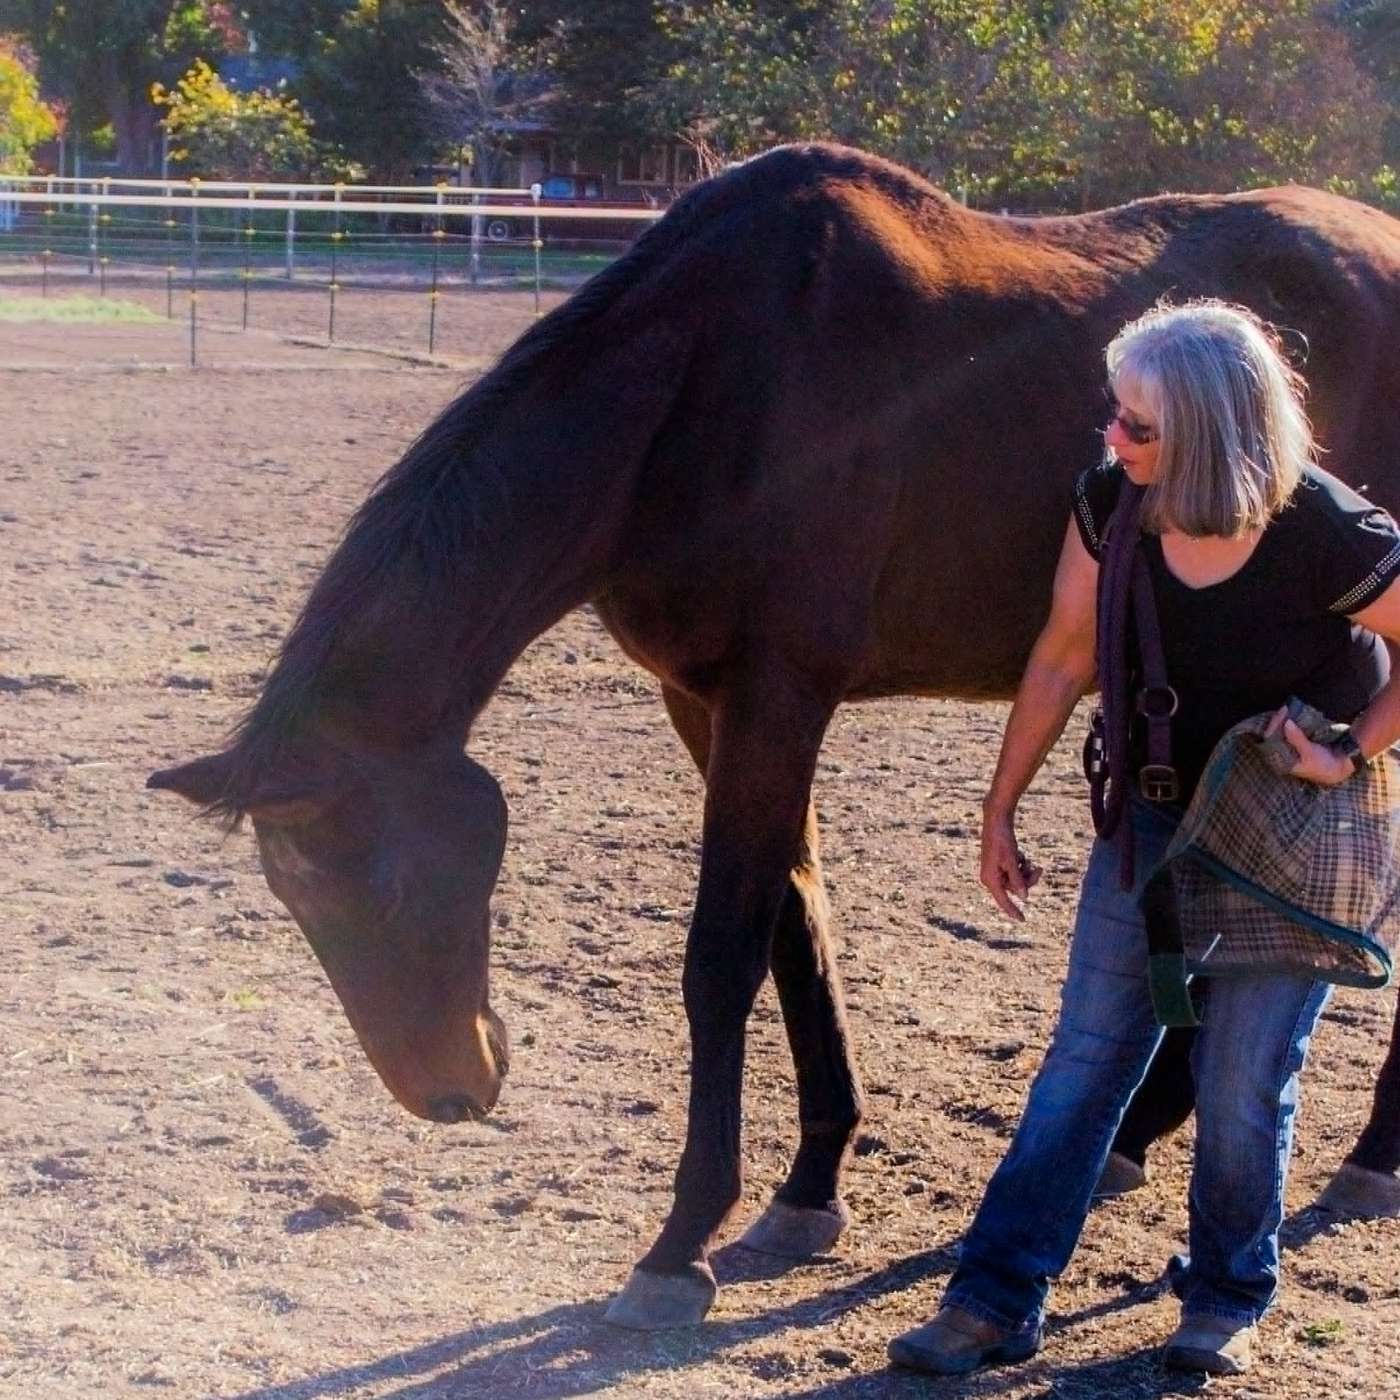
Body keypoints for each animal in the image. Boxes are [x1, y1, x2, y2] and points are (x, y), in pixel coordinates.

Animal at [148, 144, 1400, 1330]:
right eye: (297, 899)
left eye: (394, 888)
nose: (449, 1090)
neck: (703, 392)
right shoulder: (707, 703)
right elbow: (799, 926)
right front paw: (808, 1184)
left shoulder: (777, 696)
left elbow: (722, 957)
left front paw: (676, 1245)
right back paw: (1136, 1132)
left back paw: (1362, 1158)